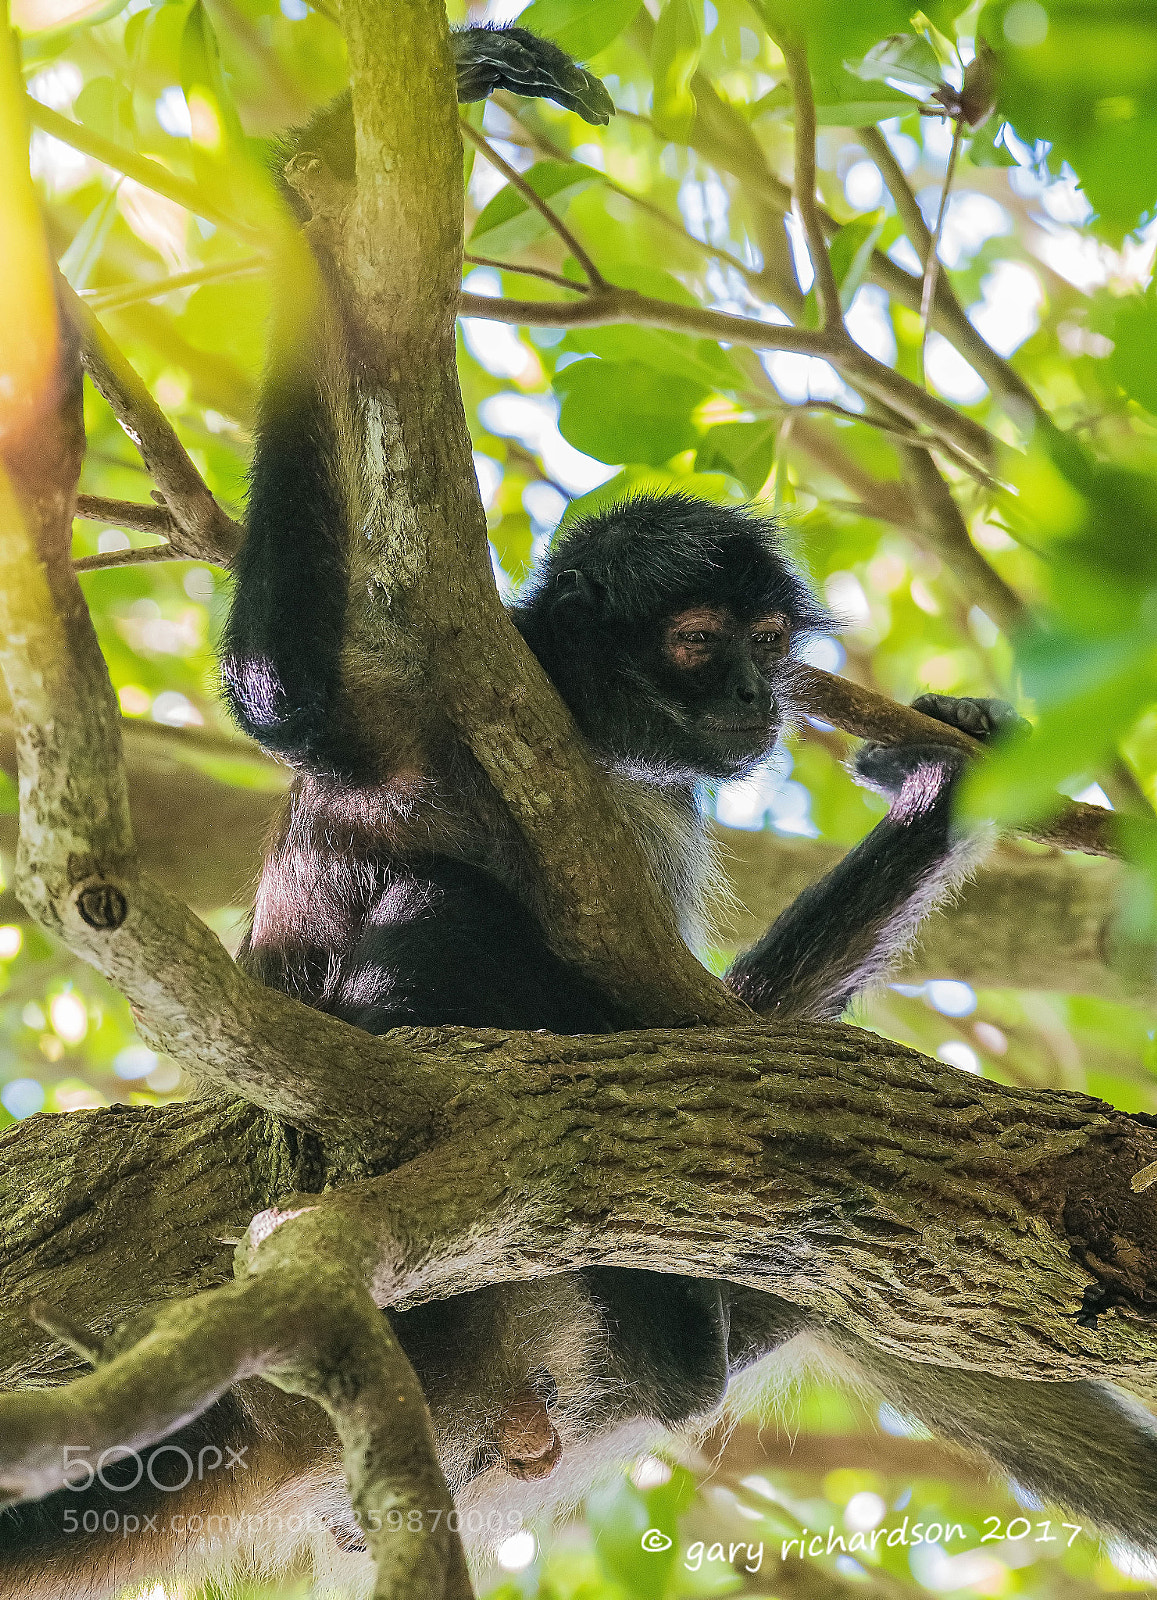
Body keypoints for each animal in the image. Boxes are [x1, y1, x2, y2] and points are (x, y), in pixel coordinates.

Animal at [6, 21, 1157, 1600]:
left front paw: (949, 775)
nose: (750, 695)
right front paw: (325, 169)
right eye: (694, 639)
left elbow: (735, 1024)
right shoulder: (429, 682)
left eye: (764, 639)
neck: (579, 723)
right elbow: (283, 697)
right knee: (433, 919)